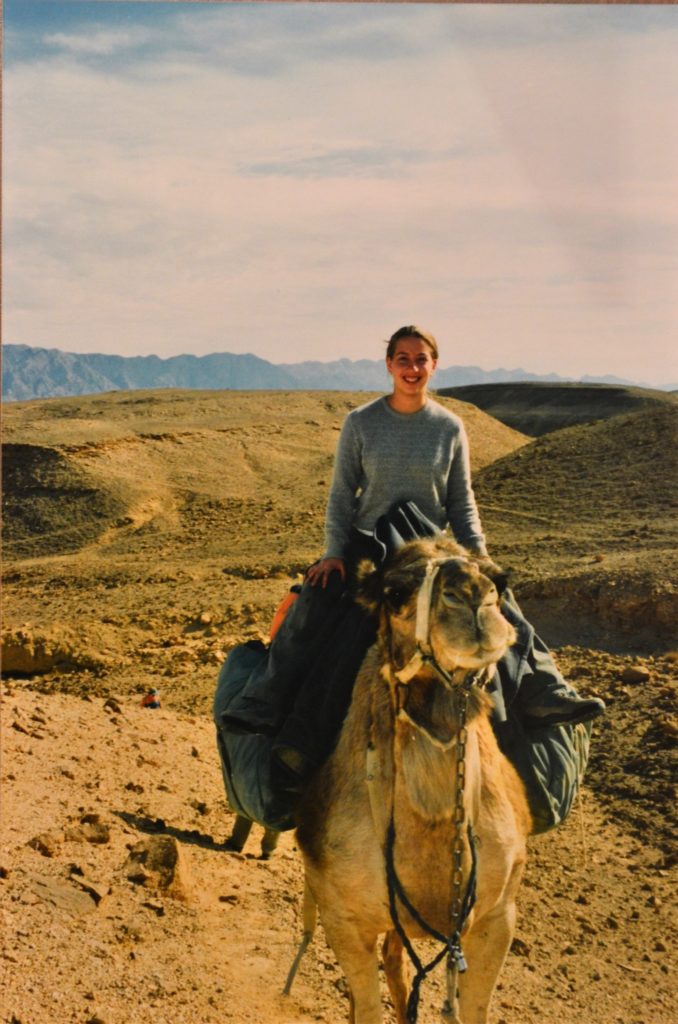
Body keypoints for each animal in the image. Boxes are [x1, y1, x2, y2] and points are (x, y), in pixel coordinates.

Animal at [288, 536, 532, 1024]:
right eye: (395, 591)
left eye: (499, 580)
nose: (473, 596)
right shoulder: (342, 918)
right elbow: (365, 1004)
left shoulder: (498, 917)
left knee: (397, 959)